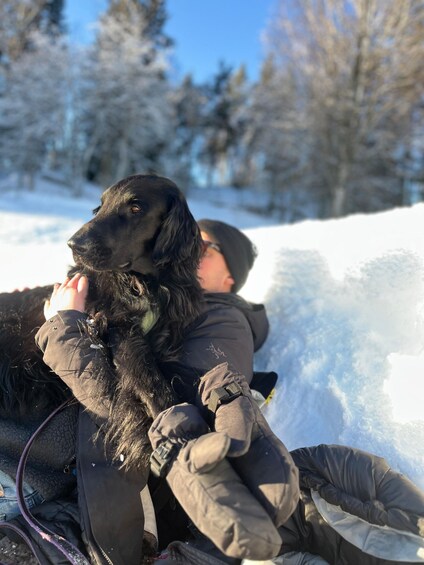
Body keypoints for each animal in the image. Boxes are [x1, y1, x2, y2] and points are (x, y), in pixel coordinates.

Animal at [0, 174, 204, 470]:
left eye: (136, 208)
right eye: (101, 205)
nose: (74, 245)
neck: (143, 286)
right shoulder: (122, 335)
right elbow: (154, 387)